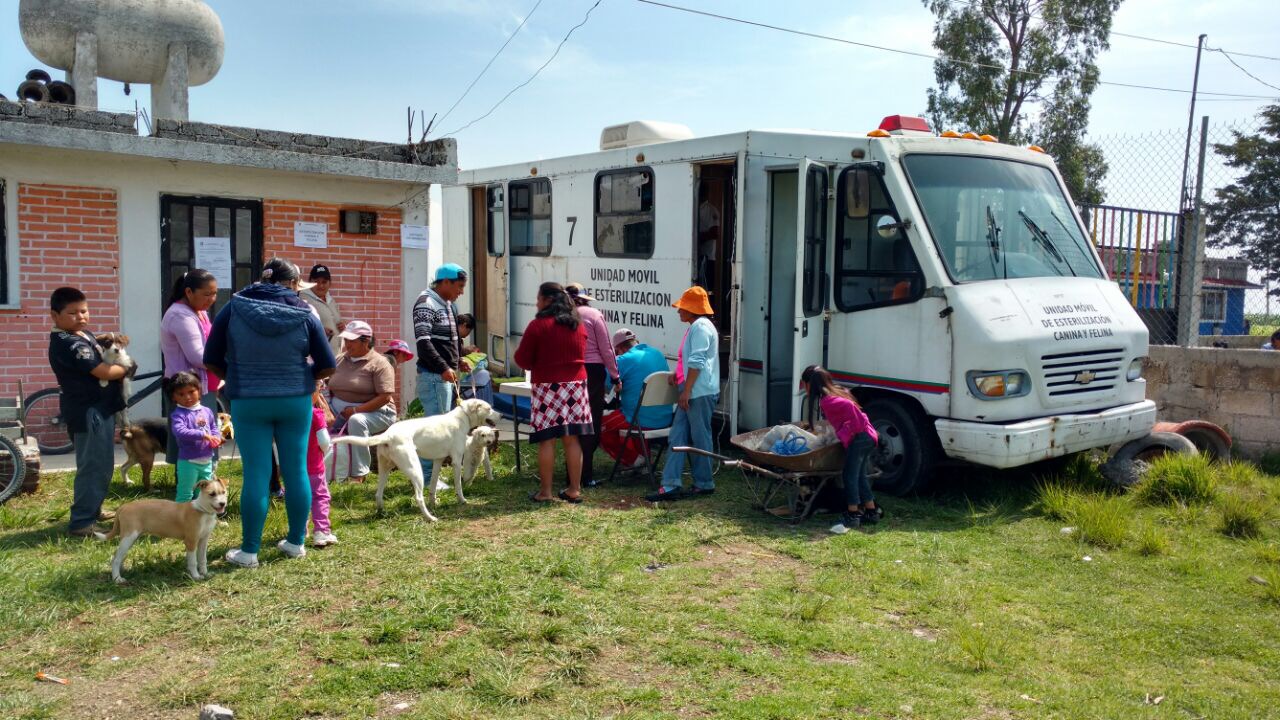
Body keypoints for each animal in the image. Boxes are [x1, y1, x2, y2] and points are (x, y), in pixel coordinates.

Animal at [330, 394, 499, 517]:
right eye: (489, 408)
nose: (501, 415)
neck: (461, 418)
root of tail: (388, 435)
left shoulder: (438, 461)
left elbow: (433, 485)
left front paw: (434, 502)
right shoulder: (457, 462)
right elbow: (459, 485)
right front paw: (462, 500)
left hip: (385, 469)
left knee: (378, 495)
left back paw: (382, 514)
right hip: (415, 470)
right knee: (418, 497)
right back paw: (430, 518)